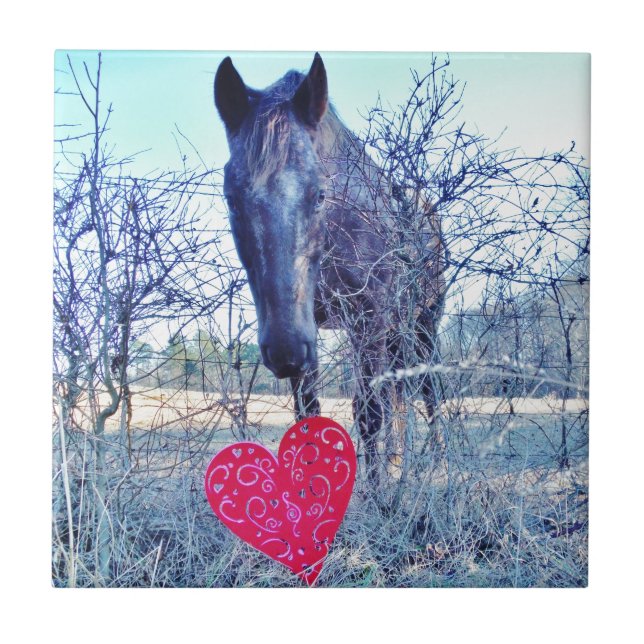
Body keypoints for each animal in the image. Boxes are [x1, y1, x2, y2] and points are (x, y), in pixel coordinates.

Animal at [214, 53, 445, 485]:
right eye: (232, 199)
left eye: (320, 194)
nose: (284, 349)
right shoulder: (308, 334)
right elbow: (308, 416)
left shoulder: (367, 319)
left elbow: (369, 413)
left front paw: (375, 495)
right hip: (395, 332)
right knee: (400, 394)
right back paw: (397, 462)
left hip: (423, 326)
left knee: (428, 388)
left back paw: (439, 461)